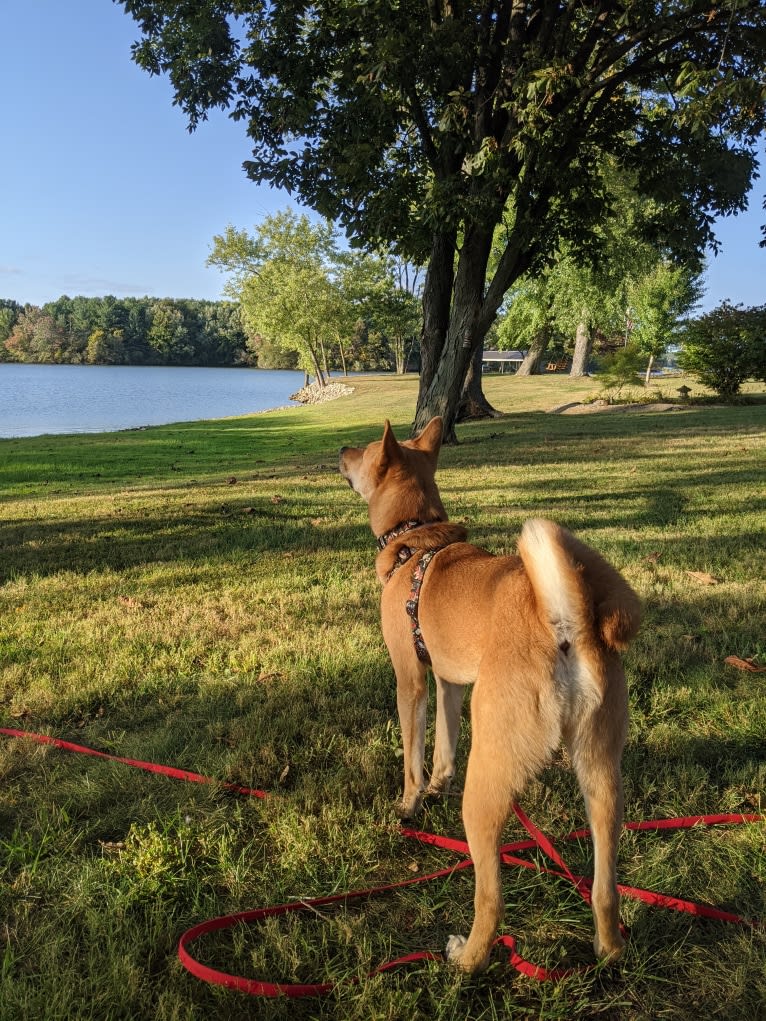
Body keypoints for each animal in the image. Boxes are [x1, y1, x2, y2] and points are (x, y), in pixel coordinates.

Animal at [339, 414, 645, 971]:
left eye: (366, 452)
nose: (341, 449)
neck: (415, 540)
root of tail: (563, 622)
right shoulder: (450, 683)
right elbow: (444, 745)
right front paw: (437, 784)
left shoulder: (411, 680)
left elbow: (413, 756)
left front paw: (411, 803)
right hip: (601, 777)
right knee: (604, 887)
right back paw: (608, 949)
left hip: (486, 790)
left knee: (492, 897)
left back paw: (468, 958)